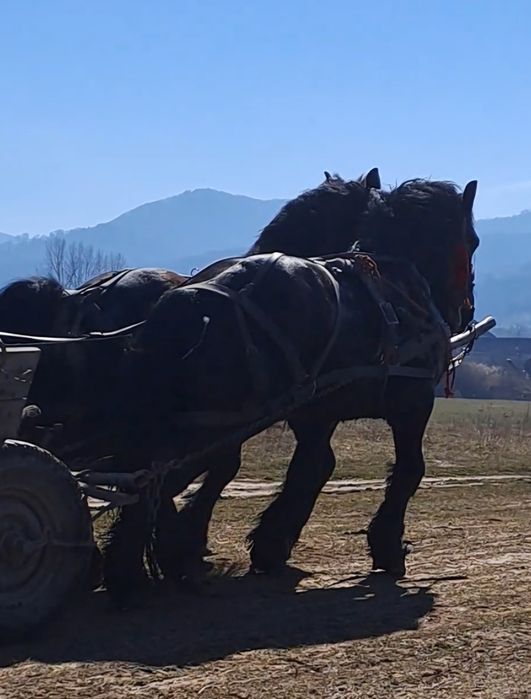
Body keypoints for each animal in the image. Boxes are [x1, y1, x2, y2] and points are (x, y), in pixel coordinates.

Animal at [101, 177, 478, 608]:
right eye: (473, 240)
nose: (466, 310)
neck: (397, 287)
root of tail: (189, 301)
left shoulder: (316, 412)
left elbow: (312, 467)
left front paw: (271, 543)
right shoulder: (412, 404)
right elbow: (409, 469)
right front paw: (387, 546)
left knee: (148, 479)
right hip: (204, 425)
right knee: (155, 481)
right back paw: (144, 569)